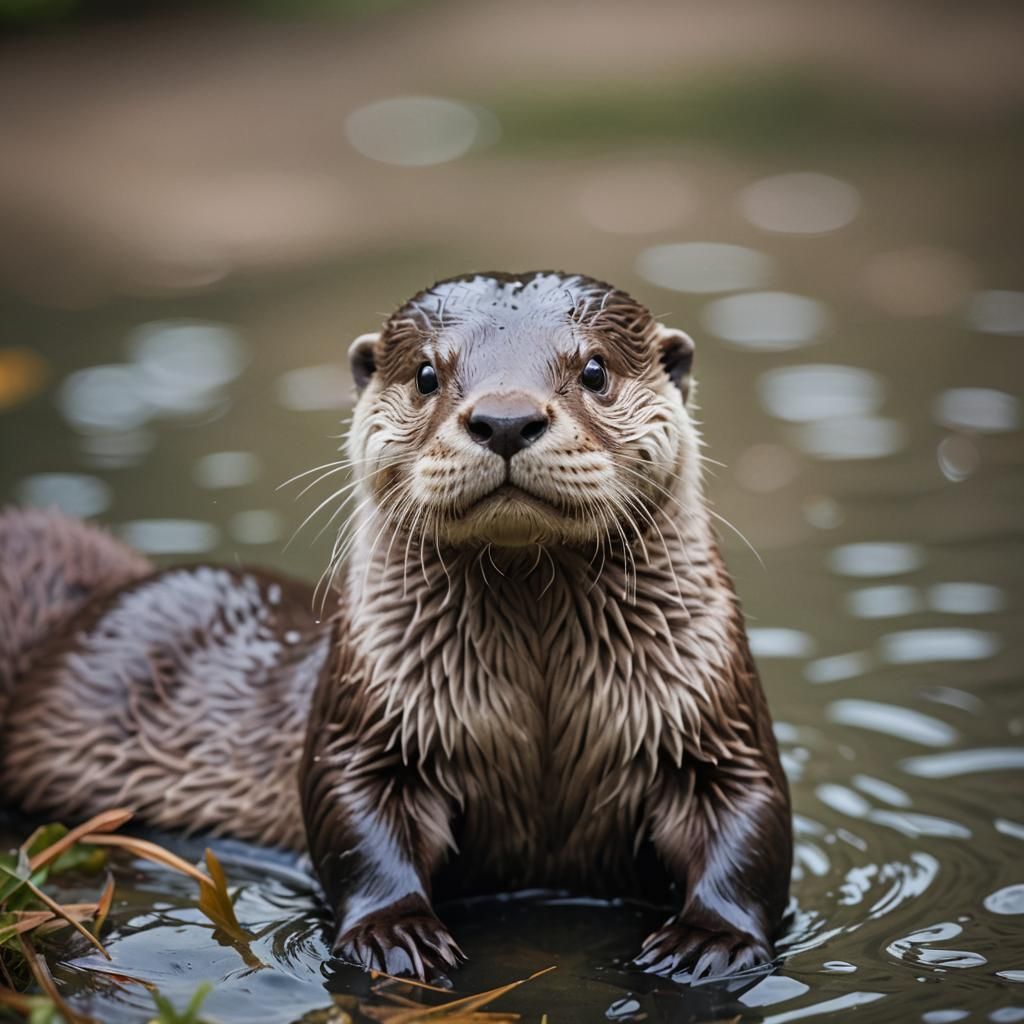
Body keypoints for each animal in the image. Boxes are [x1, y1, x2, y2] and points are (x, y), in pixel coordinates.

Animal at [0, 271, 791, 983]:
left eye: (595, 369)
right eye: (426, 374)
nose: (505, 419)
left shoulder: (713, 715)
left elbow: (751, 817)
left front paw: (710, 939)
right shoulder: (369, 720)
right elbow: (356, 823)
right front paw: (396, 934)